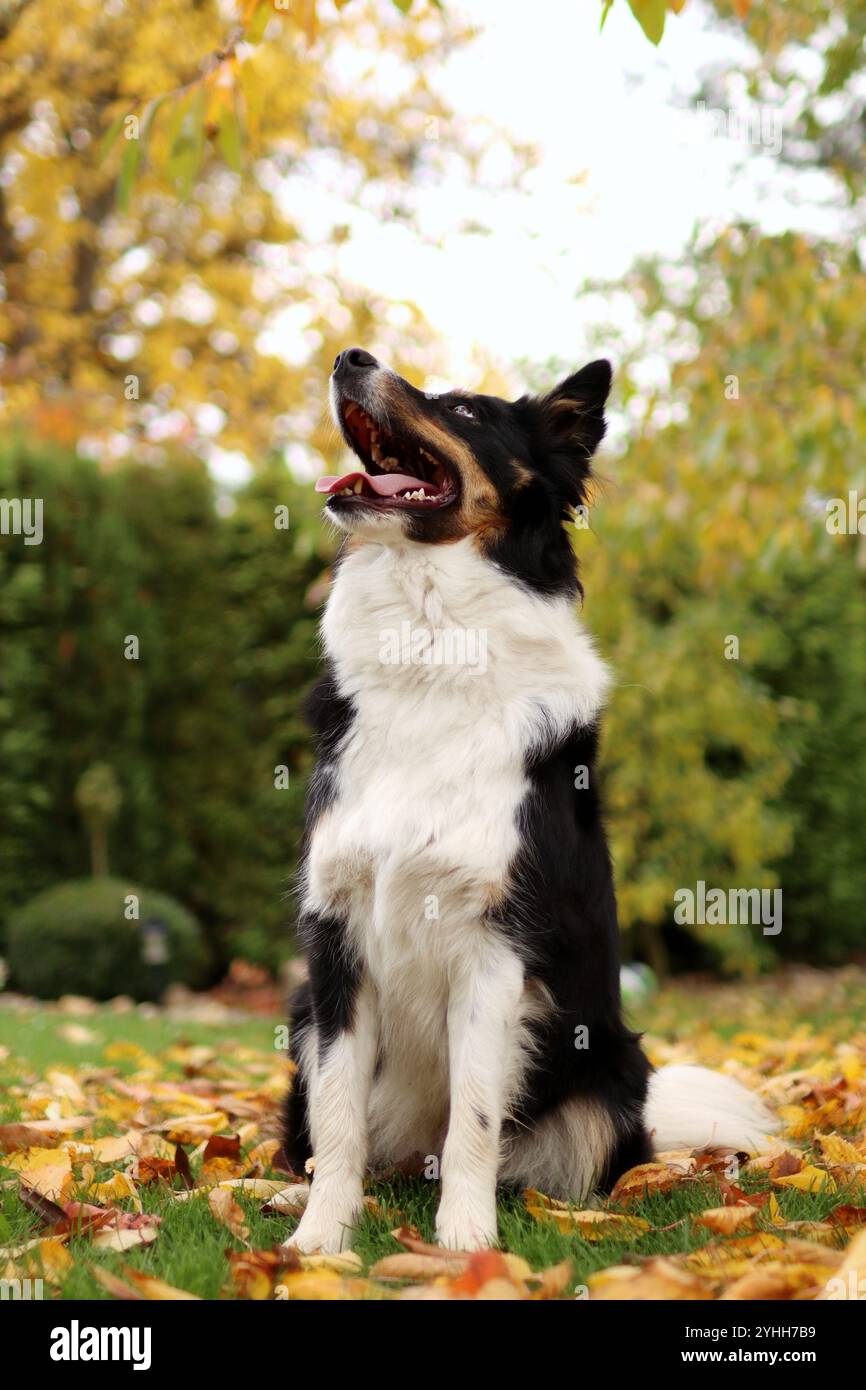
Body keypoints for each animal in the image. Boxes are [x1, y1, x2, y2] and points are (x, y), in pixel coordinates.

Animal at [280, 344, 778, 1251]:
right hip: (299, 1016)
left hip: (610, 1075)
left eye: (466, 411)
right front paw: (319, 1242)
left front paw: (465, 1247)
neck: (430, 643)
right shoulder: (335, 941)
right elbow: (337, 1118)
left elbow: (475, 1118)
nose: (349, 356)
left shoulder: (496, 946)